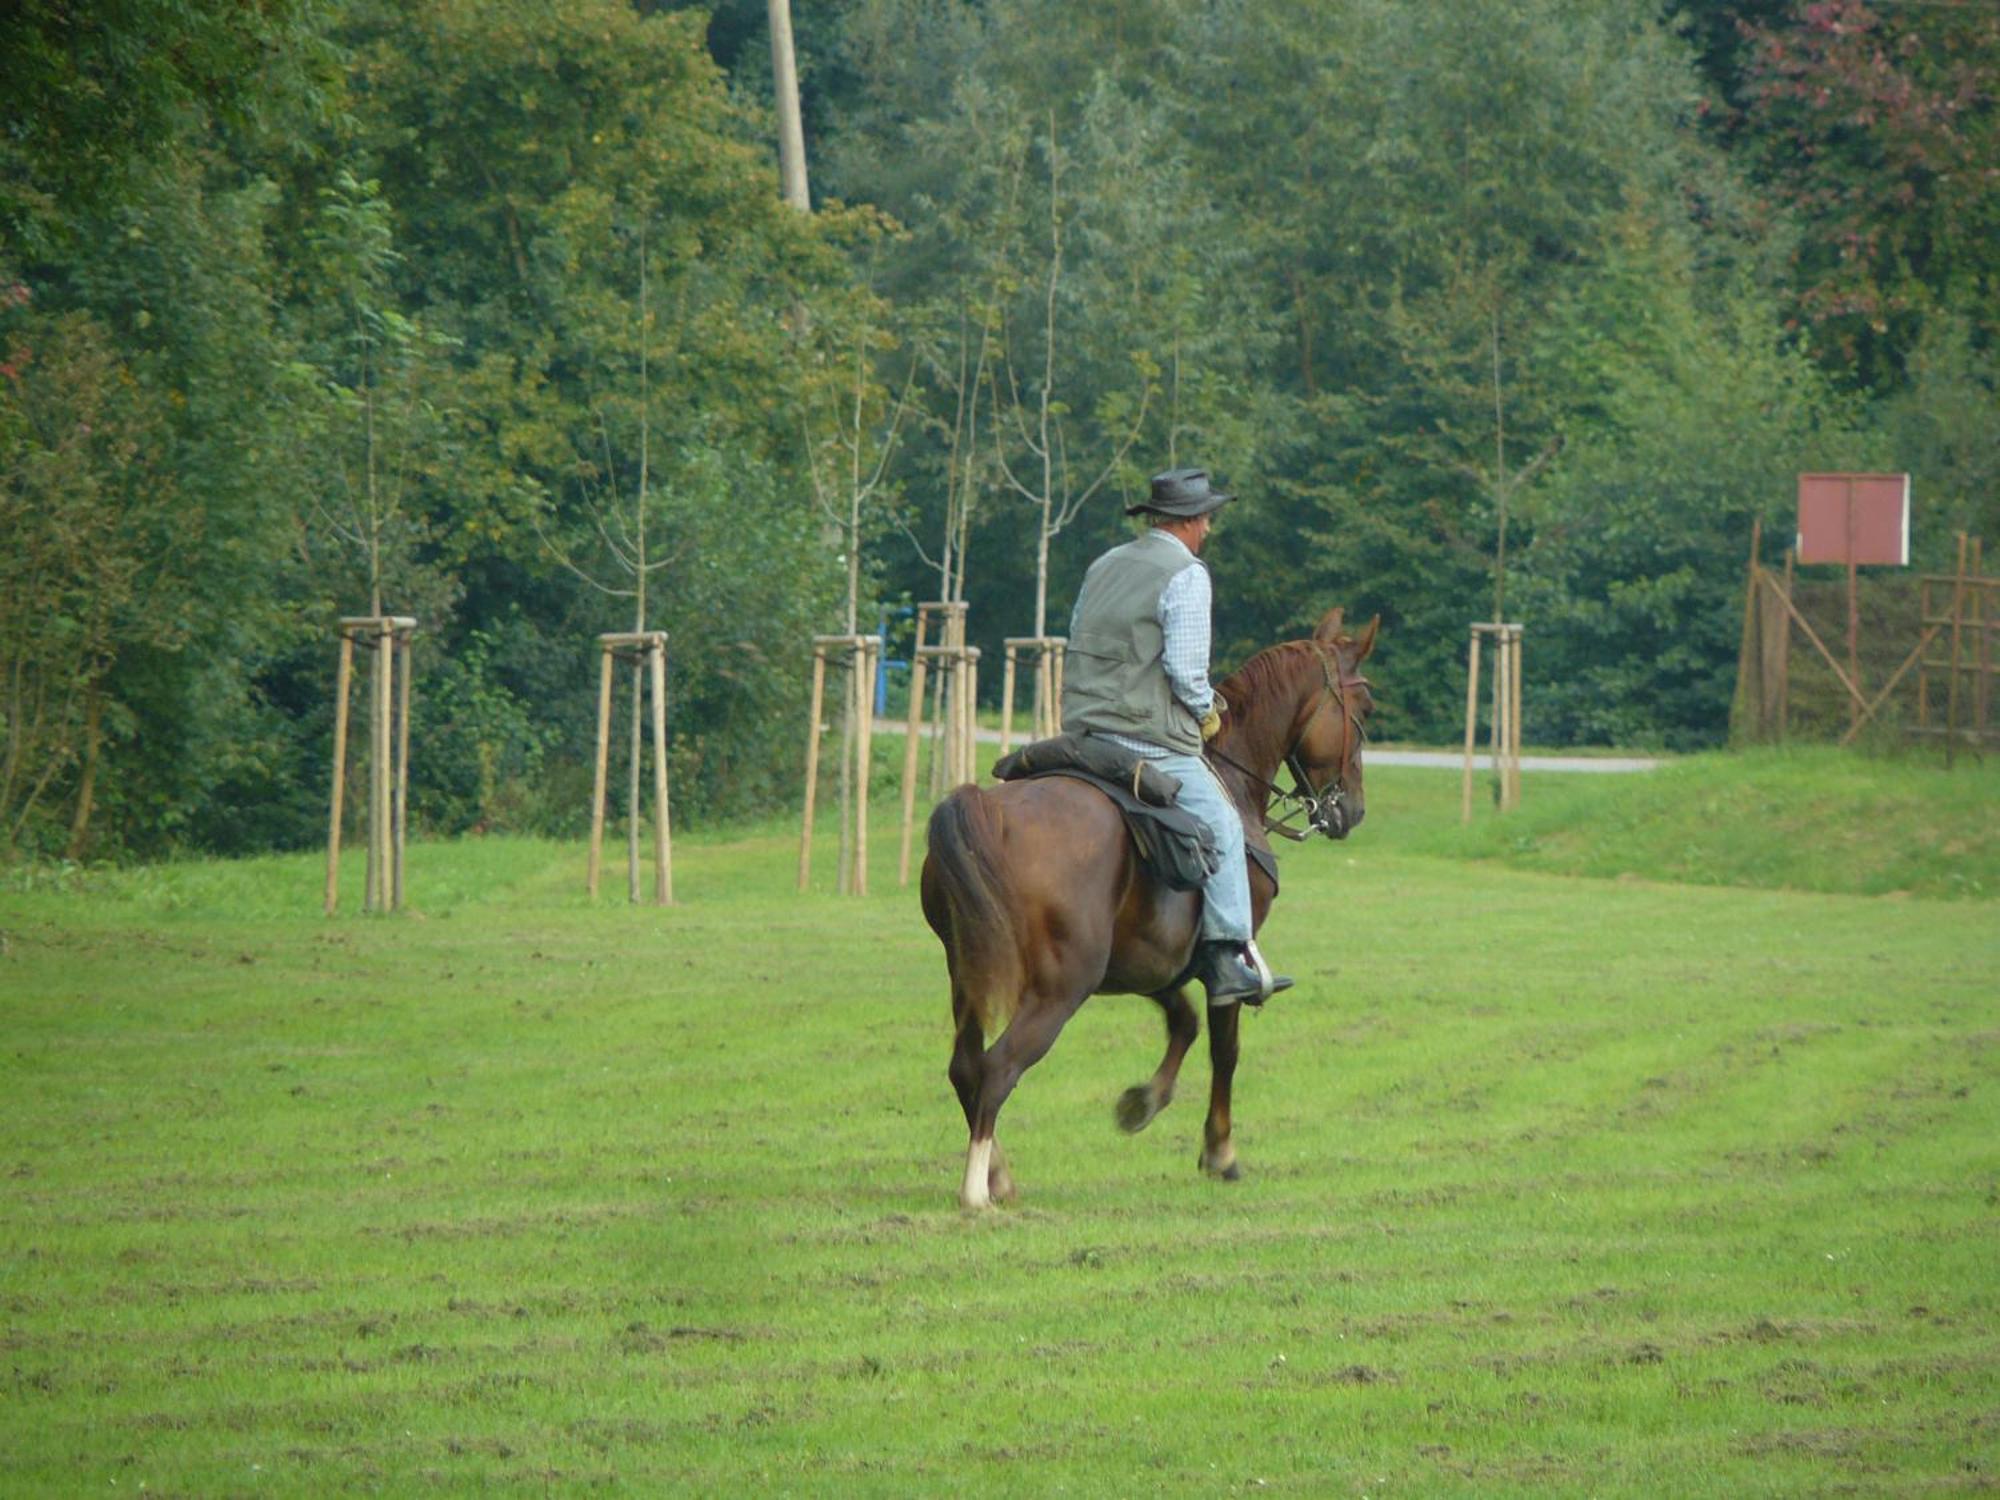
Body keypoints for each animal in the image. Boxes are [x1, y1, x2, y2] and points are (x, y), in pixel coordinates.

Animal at [920, 608, 1376, 1208]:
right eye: (1364, 708)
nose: (1352, 809)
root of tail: (988, 813)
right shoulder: (1225, 963)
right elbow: (1224, 1048)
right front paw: (1219, 1151)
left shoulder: (1149, 962)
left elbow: (1183, 1022)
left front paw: (1142, 1101)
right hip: (1060, 988)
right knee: (998, 1068)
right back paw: (977, 1190)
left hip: (970, 974)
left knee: (965, 1067)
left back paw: (998, 1172)